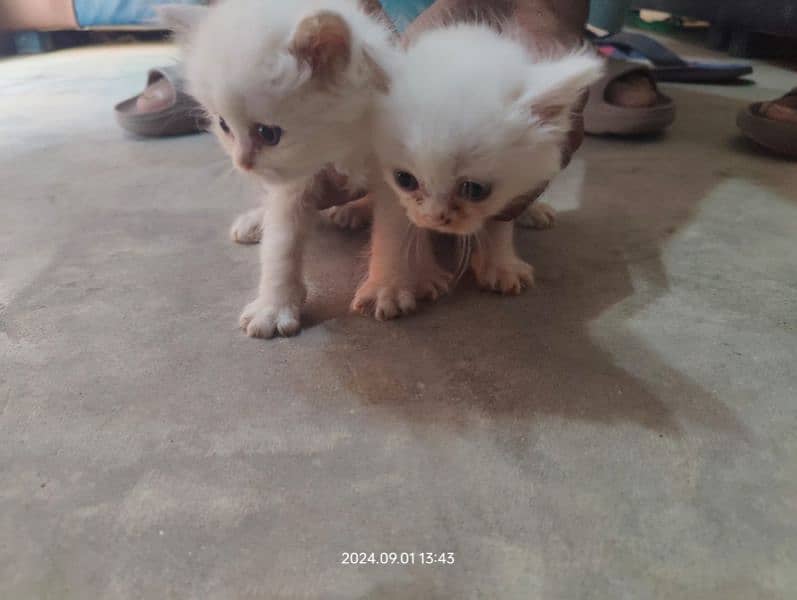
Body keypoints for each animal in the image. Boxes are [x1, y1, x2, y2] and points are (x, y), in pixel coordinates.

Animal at [160, 0, 396, 338]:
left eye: (268, 134)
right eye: (224, 125)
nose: (242, 163)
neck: (340, 143)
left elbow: (394, 232)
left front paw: (387, 286)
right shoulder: (292, 182)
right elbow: (281, 243)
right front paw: (273, 306)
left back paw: (355, 209)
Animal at [352, 23, 600, 314]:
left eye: (474, 190)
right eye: (405, 179)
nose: (435, 218)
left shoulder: (509, 192)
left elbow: (499, 224)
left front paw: (501, 266)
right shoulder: (387, 183)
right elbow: (393, 229)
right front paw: (390, 287)